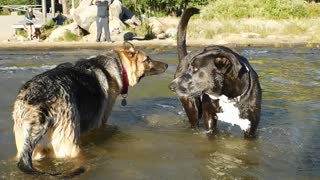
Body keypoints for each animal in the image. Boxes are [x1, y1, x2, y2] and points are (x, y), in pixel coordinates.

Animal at [12, 41, 168, 175]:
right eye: (147, 60)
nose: (167, 65)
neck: (119, 66)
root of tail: (40, 102)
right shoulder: (101, 121)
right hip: (71, 147)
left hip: (31, 151)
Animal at [169, 7, 262, 138]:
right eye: (189, 68)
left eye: (195, 69)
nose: (171, 86)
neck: (229, 98)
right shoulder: (209, 117)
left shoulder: (250, 127)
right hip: (191, 106)